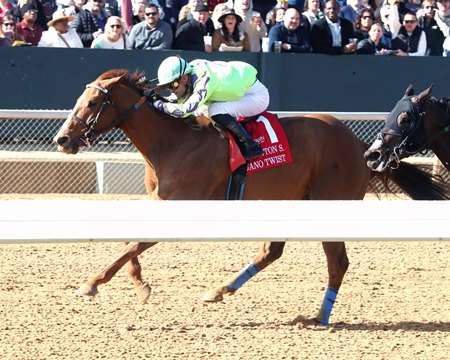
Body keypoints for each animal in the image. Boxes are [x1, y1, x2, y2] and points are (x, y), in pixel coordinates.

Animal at [53, 69, 450, 324]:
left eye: (92, 103)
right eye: (80, 99)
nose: (62, 139)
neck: (173, 143)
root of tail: (362, 146)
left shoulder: (182, 202)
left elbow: (133, 242)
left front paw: (92, 284)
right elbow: (129, 241)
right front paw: (140, 285)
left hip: (329, 202)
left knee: (338, 263)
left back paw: (319, 316)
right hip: (291, 201)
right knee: (272, 251)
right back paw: (220, 289)